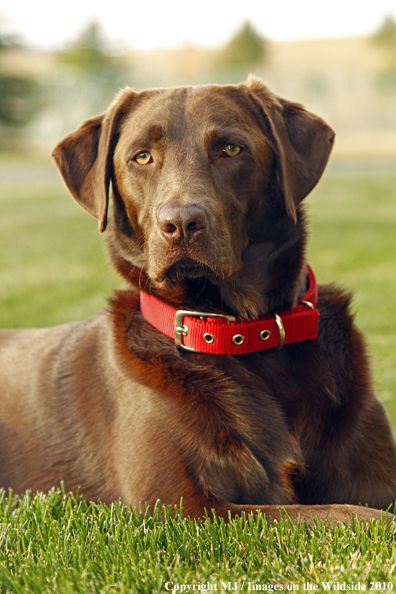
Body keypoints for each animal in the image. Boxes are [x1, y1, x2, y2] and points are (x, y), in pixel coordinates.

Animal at [0, 75, 396, 524]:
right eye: (141, 157)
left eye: (231, 149)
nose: (181, 223)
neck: (239, 332)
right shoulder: (181, 506)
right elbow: (353, 515)